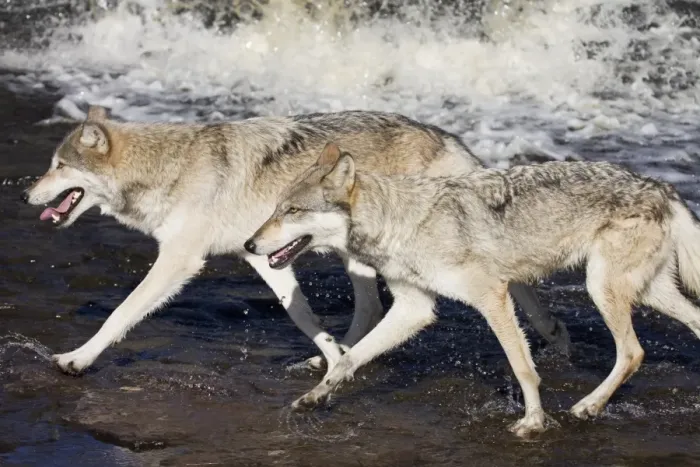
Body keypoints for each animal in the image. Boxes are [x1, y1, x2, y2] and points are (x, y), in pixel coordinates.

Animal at [21, 106, 569, 376]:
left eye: (58, 166)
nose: (27, 193)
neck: (168, 167)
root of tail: (449, 138)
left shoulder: (180, 260)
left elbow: (121, 312)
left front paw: (77, 360)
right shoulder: (263, 257)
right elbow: (302, 316)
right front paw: (331, 354)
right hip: (358, 257)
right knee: (375, 309)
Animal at [245, 142, 700, 437]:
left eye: (292, 211)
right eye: (274, 209)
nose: (249, 244)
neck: (400, 222)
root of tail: (661, 186)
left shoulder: (491, 296)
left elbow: (523, 367)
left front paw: (533, 422)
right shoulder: (414, 307)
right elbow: (346, 359)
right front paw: (314, 398)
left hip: (602, 288)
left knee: (633, 352)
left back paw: (588, 406)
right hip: (644, 293)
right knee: (688, 323)